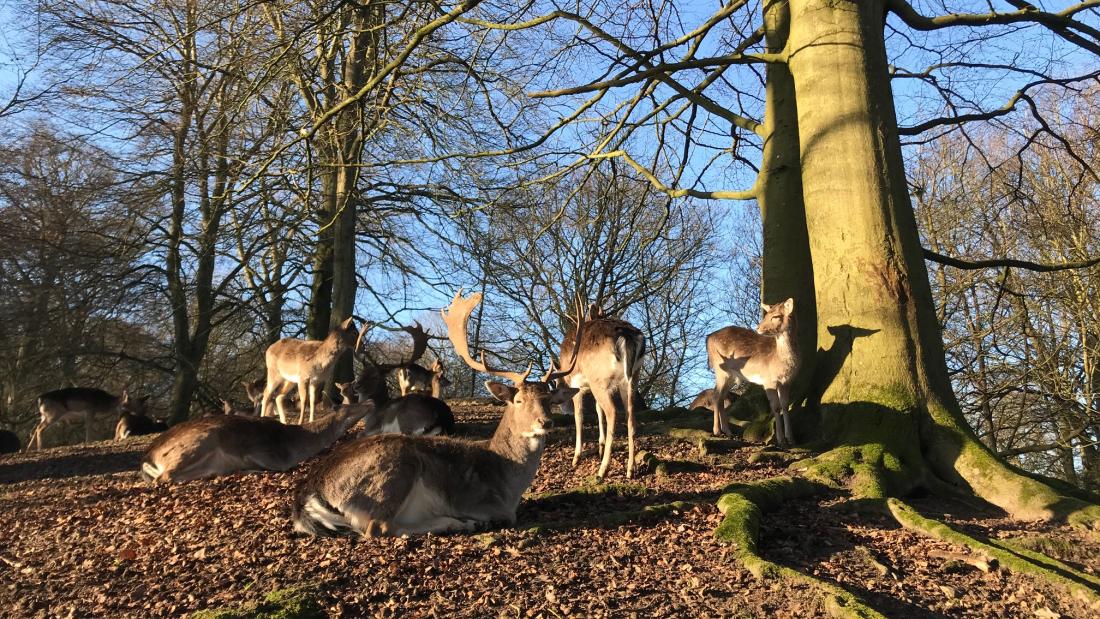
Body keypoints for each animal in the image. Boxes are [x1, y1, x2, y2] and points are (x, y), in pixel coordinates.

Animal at [139, 402, 374, 483]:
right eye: (350, 406)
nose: (370, 401)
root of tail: (148, 455)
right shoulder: (266, 452)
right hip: (201, 440)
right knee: (164, 477)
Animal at [292, 290, 585, 538]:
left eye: (549, 400)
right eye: (519, 400)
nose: (545, 422)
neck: (507, 483)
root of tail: (310, 490)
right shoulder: (482, 501)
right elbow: (504, 516)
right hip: (396, 469)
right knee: (378, 527)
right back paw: (458, 522)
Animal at [554, 307, 646, 481]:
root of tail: (627, 336)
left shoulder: (577, 384)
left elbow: (579, 416)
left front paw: (576, 458)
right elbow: (598, 410)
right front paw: (600, 447)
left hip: (599, 379)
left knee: (613, 411)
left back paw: (602, 471)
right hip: (631, 378)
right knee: (630, 415)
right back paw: (631, 469)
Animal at [704, 299, 800, 446]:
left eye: (776, 316)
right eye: (766, 315)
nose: (758, 328)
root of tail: (708, 338)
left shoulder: (786, 382)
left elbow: (785, 406)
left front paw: (791, 439)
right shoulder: (768, 380)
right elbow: (776, 407)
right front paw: (780, 440)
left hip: (732, 376)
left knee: (721, 397)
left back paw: (727, 431)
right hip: (720, 369)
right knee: (716, 396)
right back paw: (717, 431)